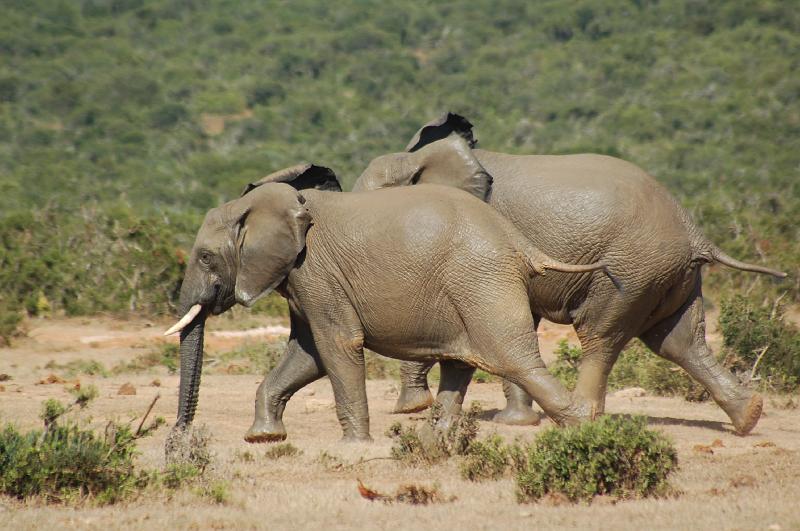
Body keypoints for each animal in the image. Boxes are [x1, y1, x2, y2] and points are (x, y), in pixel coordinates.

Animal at [164, 168, 621, 443]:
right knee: (462, 364)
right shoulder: (303, 279)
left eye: (204, 257)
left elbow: (337, 345)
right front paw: (263, 437)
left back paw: (584, 429)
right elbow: (308, 354)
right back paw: (436, 441)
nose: (178, 438)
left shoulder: (316, 271)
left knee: (514, 359)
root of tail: (517, 239)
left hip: (482, 280)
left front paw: (354, 446)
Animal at [348, 112, 786, 435]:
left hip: (630, 271)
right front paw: (515, 421)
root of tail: (694, 232)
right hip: (671, 276)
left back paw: (584, 415)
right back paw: (749, 416)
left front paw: (414, 409)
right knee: (680, 341)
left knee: (602, 335)